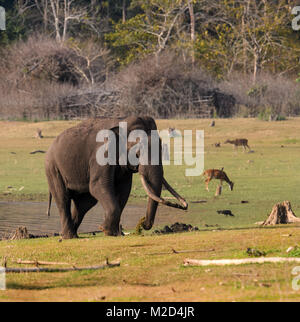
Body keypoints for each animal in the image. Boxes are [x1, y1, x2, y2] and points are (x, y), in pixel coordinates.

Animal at [45, 116, 188, 239]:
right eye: (137, 153)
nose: (142, 223)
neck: (122, 121)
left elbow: (124, 190)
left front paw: (113, 233)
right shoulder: (101, 154)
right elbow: (98, 186)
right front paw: (106, 230)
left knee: (85, 203)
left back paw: (72, 234)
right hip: (53, 169)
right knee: (63, 198)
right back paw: (68, 236)